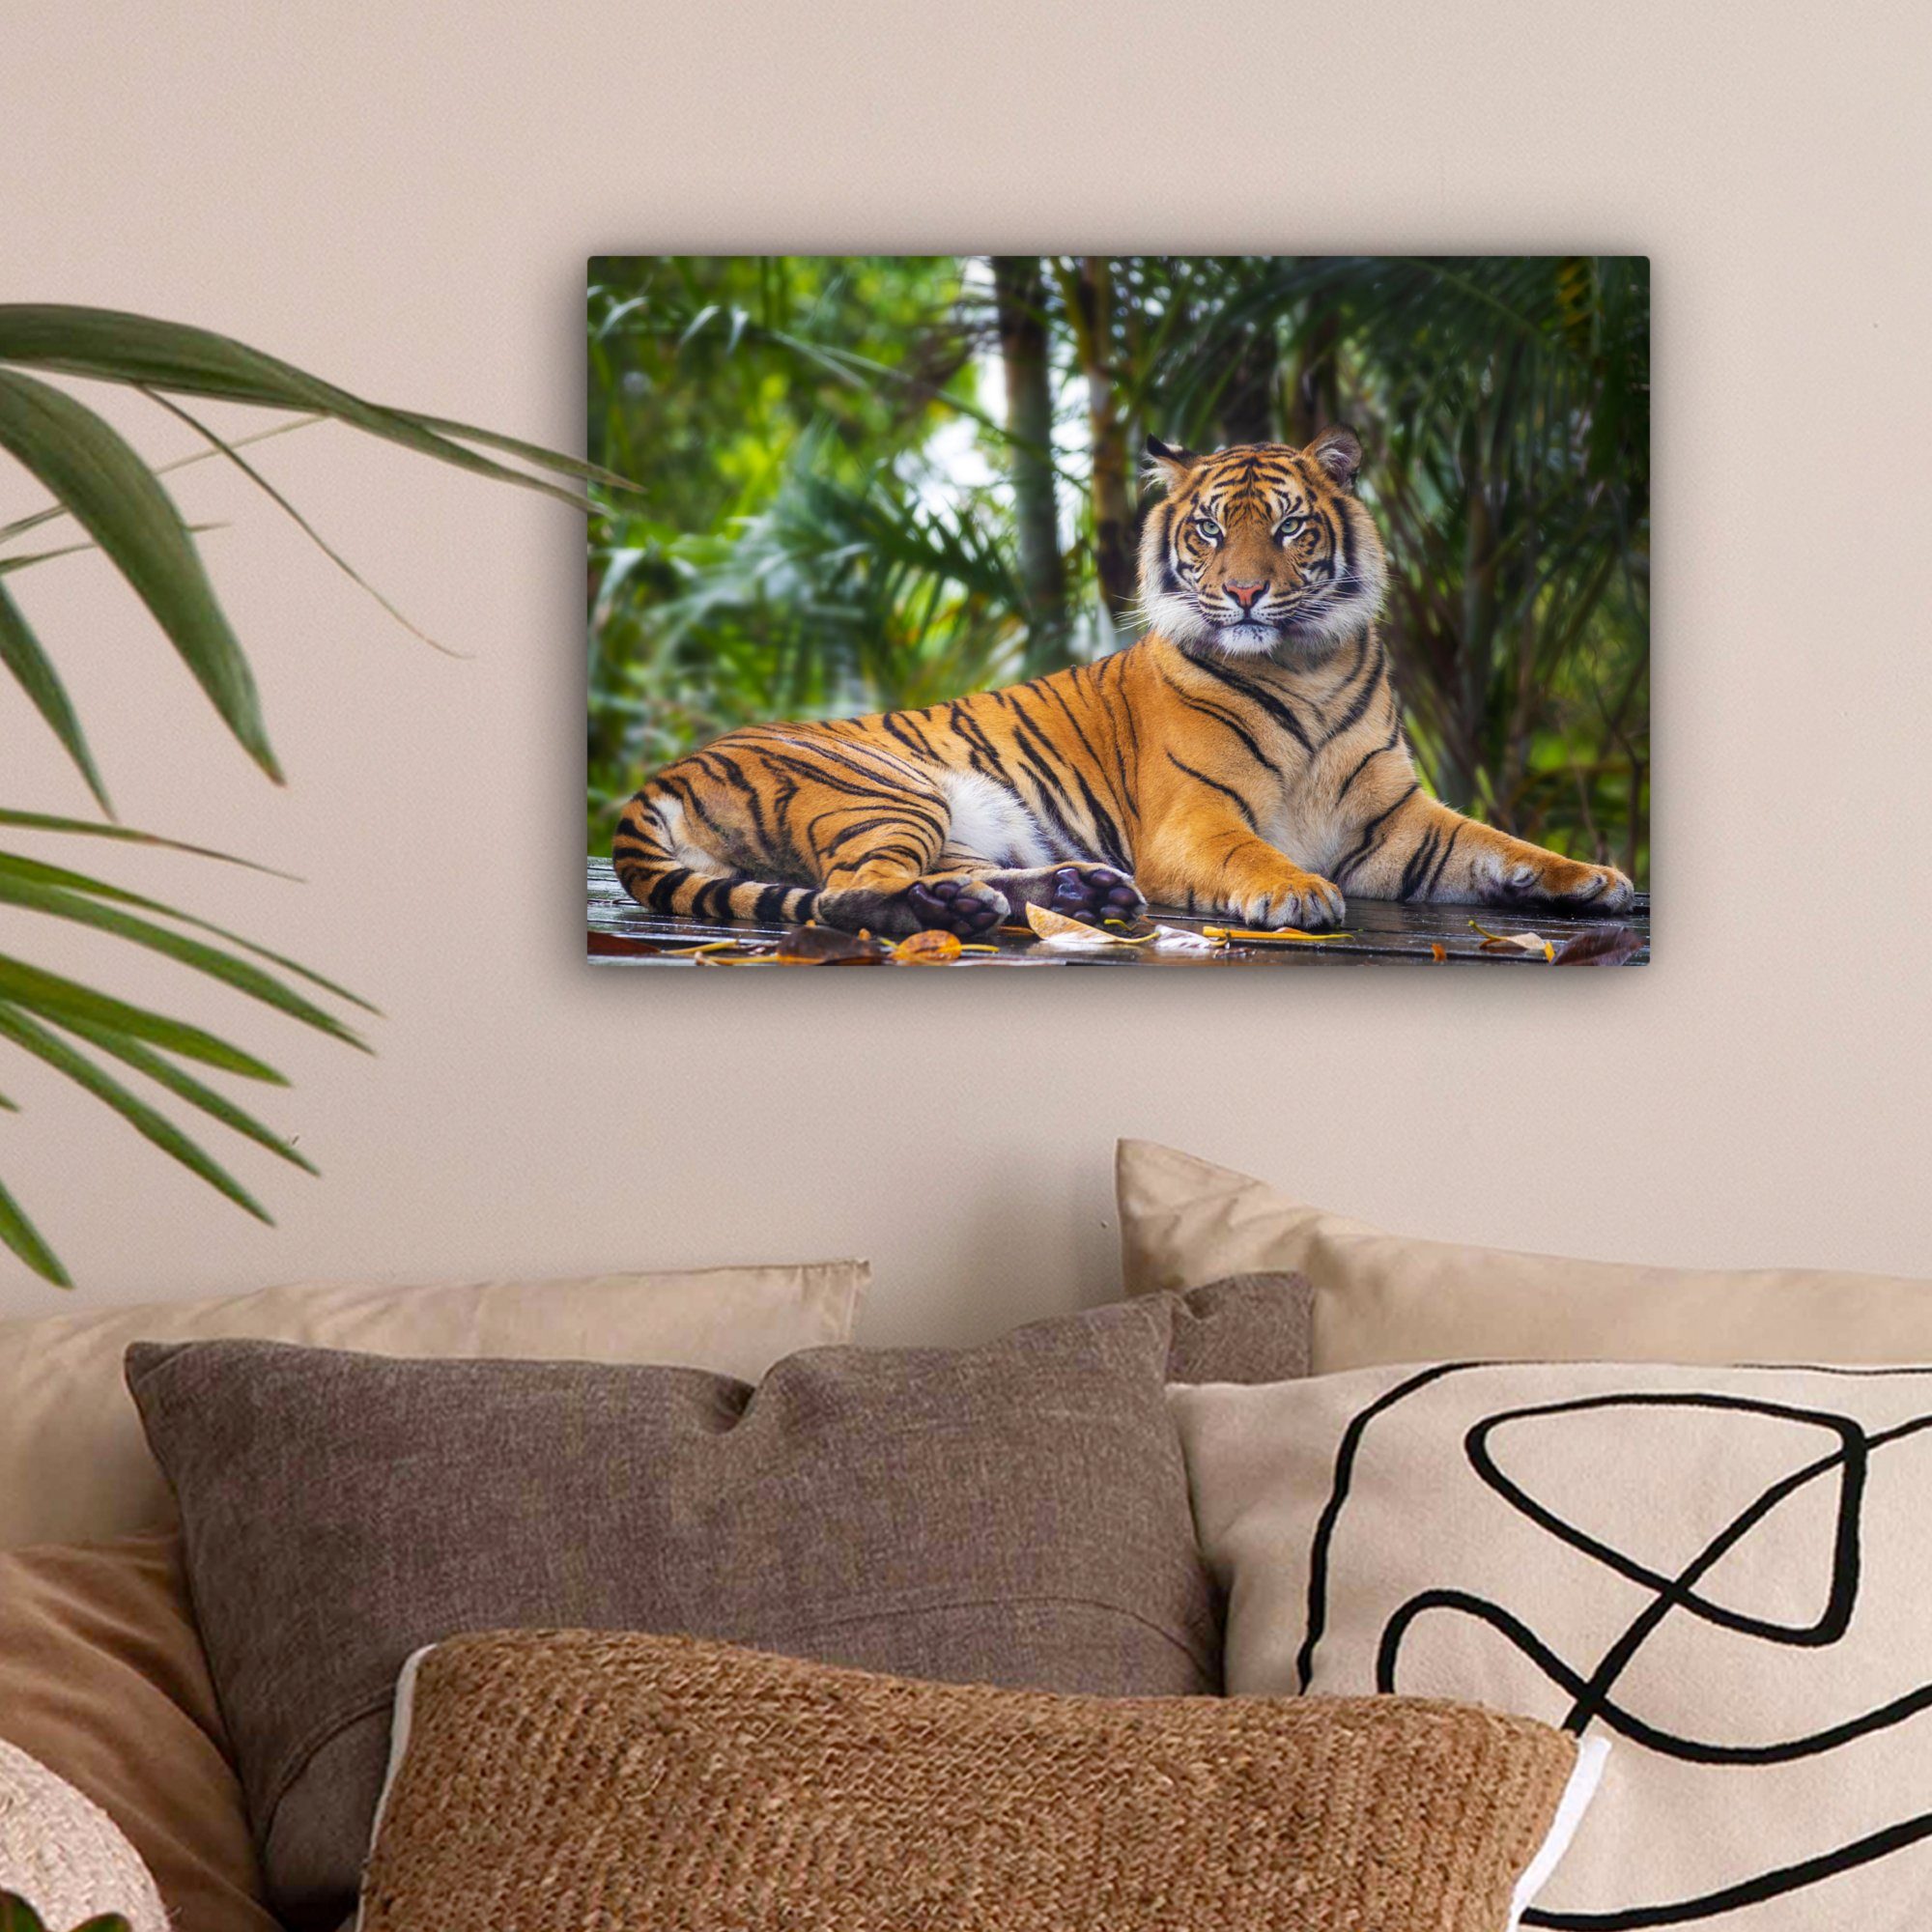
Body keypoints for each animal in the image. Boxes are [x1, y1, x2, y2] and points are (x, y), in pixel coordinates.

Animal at [611, 426, 1635, 937]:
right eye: (1212, 529)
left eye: (1291, 526)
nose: (1246, 591)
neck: (1308, 662)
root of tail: (662, 775)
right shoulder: (1196, 820)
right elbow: (1255, 855)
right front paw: (1297, 892)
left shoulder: (1398, 823)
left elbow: (1501, 843)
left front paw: (1592, 878)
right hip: (889, 791)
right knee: (847, 894)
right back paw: (959, 911)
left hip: (963, 825)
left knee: (950, 878)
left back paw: (1071, 895)